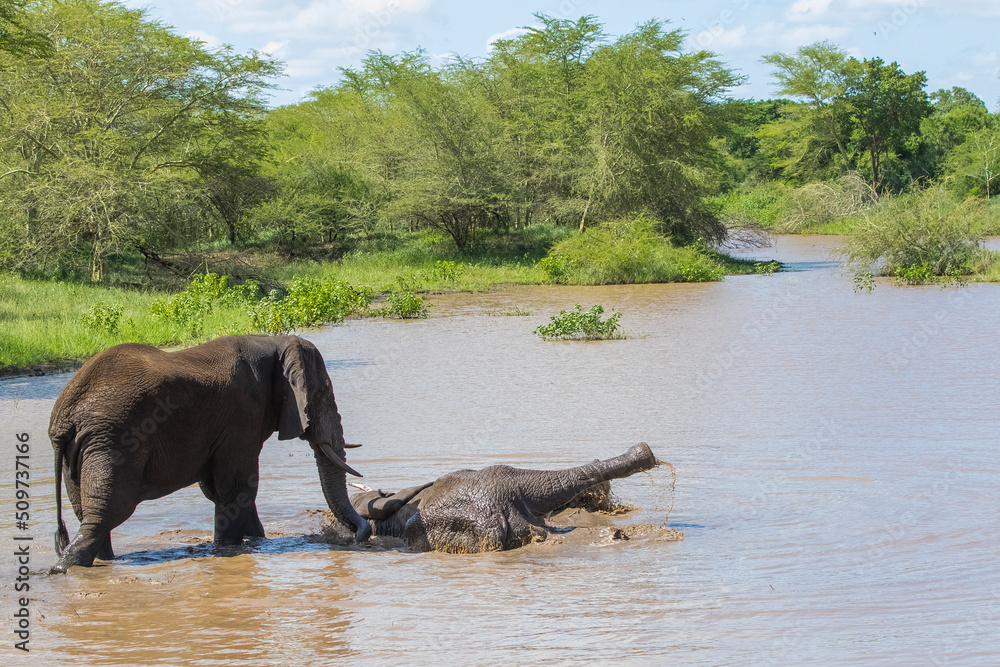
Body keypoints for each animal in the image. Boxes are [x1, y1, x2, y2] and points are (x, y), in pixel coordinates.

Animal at [48, 334, 372, 573]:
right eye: (320, 394)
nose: (359, 535)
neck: (274, 341)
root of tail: (65, 415)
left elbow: (223, 491)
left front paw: (255, 542)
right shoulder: (243, 415)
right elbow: (238, 488)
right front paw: (229, 550)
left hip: (83, 450)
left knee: (87, 512)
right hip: (114, 441)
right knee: (108, 511)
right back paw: (63, 569)